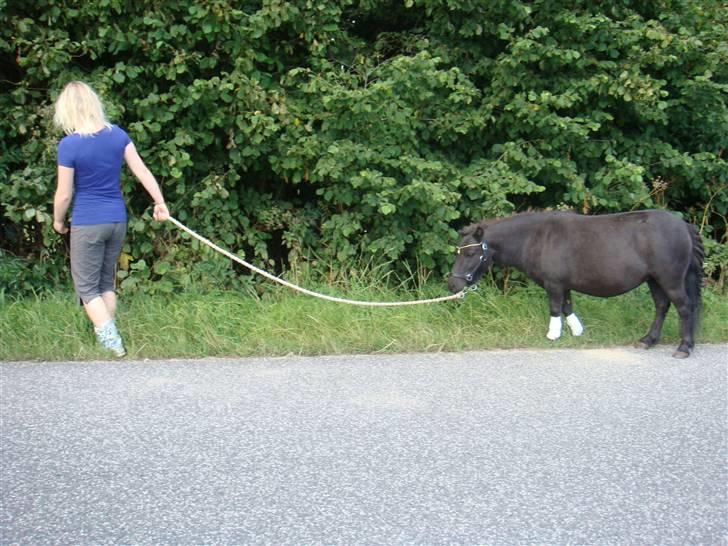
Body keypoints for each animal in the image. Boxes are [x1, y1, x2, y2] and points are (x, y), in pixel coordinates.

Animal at [450, 209, 704, 356]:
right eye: (458, 251)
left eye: (470, 253)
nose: (452, 286)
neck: (538, 237)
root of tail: (684, 225)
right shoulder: (564, 285)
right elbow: (567, 307)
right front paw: (577, 332)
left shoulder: (553, 285)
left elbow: (555, 309)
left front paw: (553, 335)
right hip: (654, 280)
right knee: (661, 307)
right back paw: (648, 340)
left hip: (670, 280)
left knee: (685, 308)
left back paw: (684, 347)